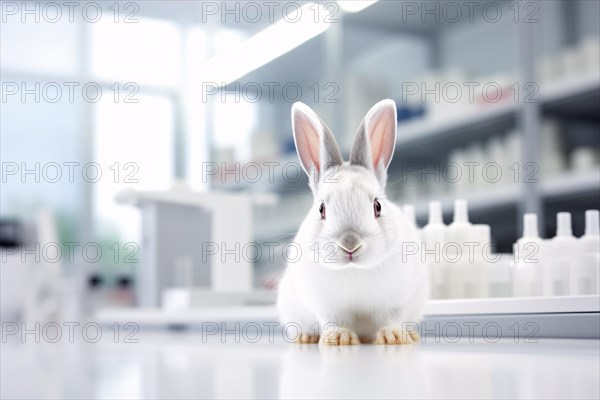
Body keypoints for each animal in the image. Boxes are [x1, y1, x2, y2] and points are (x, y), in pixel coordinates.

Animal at [276, 99, 426, 344]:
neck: (355, 269)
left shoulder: (397, 303)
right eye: (321, 209)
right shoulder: (328, 308)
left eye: (377, 206)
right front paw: (339, 339)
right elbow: (334, 322)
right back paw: (307, 338)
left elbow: (392, 319)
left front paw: (393, 337)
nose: (350, 244)